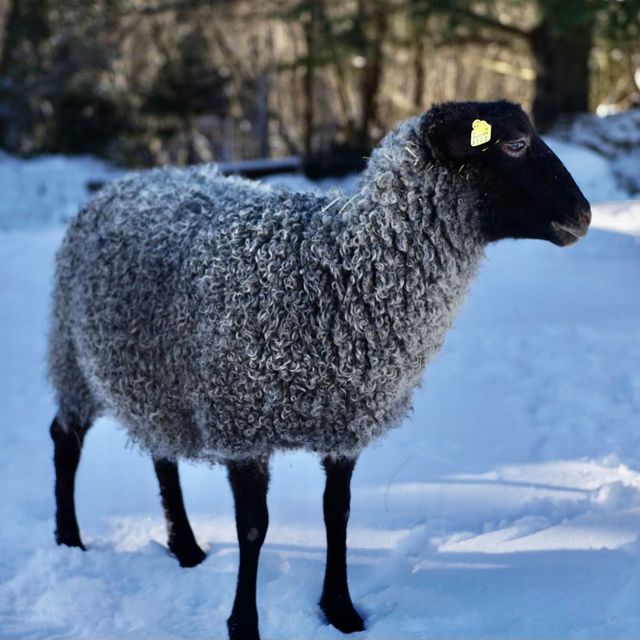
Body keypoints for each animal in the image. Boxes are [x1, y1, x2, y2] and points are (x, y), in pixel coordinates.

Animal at [48, 100, 591, 640]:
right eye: (514, 143)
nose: (584, 216)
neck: (337, 271)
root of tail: (130, 180)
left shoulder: (345, 424)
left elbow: (337, 515)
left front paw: (341, 611)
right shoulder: (242, 422)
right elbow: (254, 528)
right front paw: (244, 624)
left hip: (155, 376)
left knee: (161, 454)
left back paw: (185, 548)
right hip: (72, 355)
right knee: (65, 438)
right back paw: (70, 539)